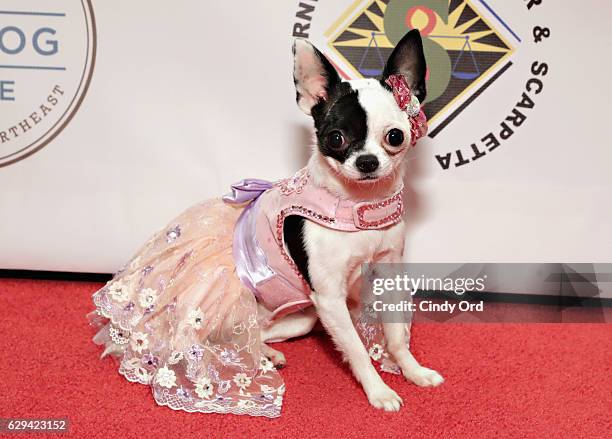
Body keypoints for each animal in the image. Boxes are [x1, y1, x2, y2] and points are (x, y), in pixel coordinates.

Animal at [260, 31, 444, 412]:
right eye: (336, 138)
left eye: (395, 136)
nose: (367, 161)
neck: (358, 207)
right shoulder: (330, 298)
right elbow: (357, 351)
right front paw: (379, 391)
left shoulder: (388, 275)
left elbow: (396, 336)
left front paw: (412, 371)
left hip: (301, 318)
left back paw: (269, 353)